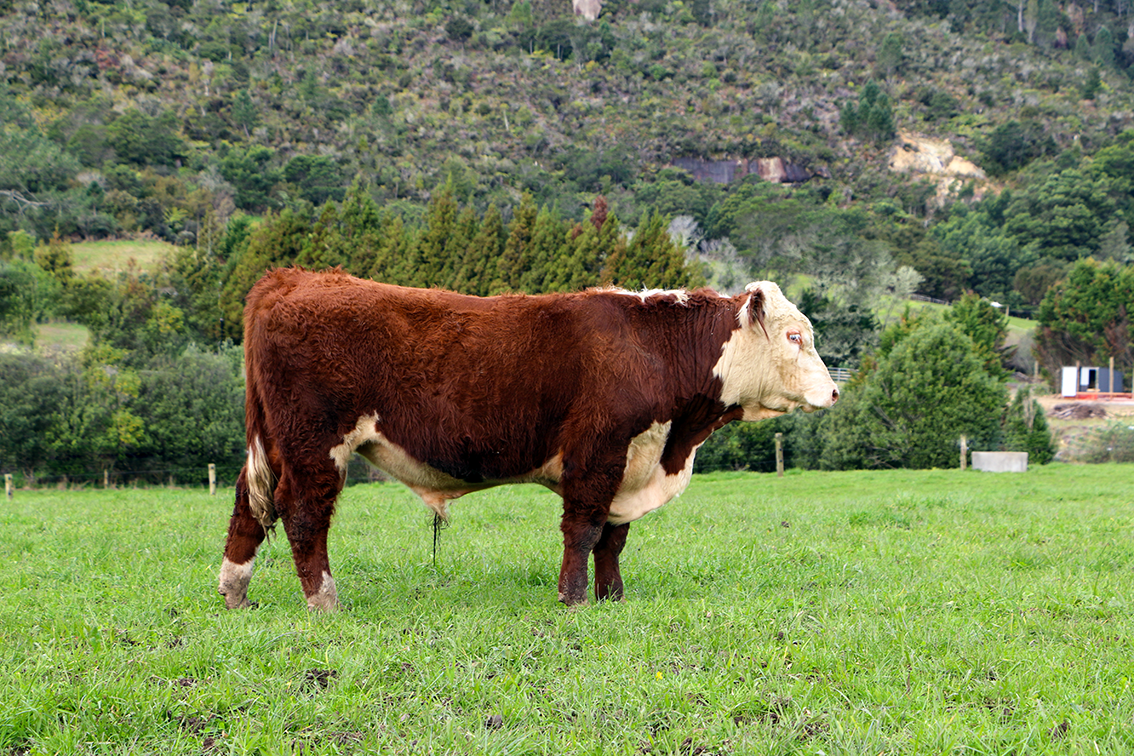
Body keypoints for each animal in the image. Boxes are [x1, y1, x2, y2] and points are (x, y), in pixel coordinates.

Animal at [218, 268, 839, 611]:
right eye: (794, 336)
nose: (834, 392)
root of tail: (294, 277)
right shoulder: (598, 453)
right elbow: (585, 529)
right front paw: (574, 599)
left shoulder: (630, 460)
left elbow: (614, 538)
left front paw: (612, 597)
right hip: (315, 444)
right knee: (303, 516)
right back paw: (324, 604)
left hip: (274, 445)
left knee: (250, 507)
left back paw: (235, 595)